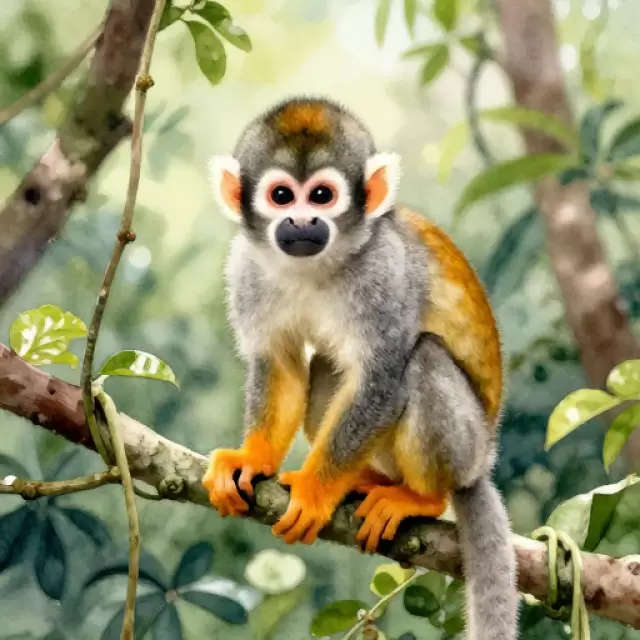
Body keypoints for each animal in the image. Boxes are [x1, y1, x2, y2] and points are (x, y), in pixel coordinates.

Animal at [202, 96, 518, 639]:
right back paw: (368, 480)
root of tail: (480, 467)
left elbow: (382, 378)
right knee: (327, 368)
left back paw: (421, 498)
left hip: (467, 447)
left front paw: (315, 491)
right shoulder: (246, 267)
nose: (301, 222)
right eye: (281, 196)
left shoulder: (382, 272)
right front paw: (252, 458)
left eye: (322, 195)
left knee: (423, 358)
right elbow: (279, 362)